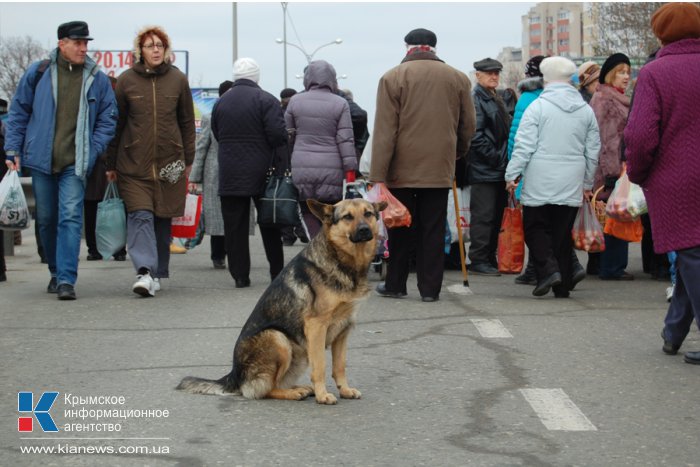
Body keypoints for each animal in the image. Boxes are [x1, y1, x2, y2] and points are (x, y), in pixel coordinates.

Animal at [178, 199, 386, 404]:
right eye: (347, 217)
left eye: (368, 213)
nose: (364, 230)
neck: (341, 260)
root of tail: (235, 375)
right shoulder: (316, 326)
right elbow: (320, 365)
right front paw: (323, 395)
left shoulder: (344, 329)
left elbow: (340, 365)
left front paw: (345, 390)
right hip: (278, 338)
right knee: (263, 390)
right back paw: (294, 393)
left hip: (299, 354)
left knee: (277, 382)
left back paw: (301, 388)